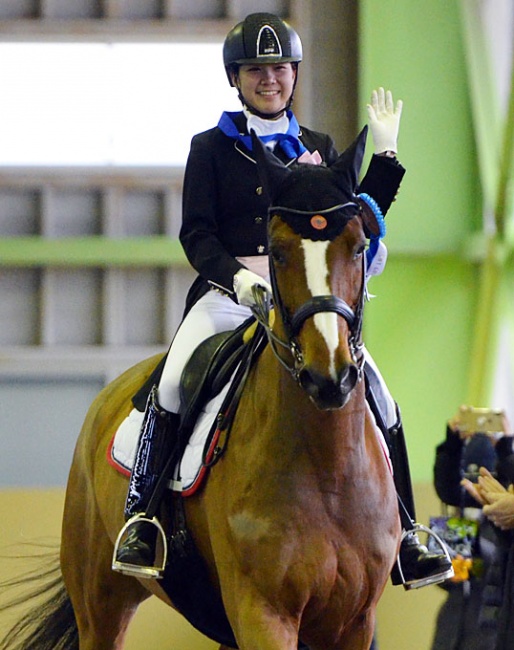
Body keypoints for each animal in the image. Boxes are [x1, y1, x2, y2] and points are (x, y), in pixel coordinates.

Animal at [0, 128, 398, 648]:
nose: (328, 375)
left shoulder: (354, 621)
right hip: (100, 605)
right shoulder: (261, 612)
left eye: (358, 246)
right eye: (278, 251)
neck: (327, 468)